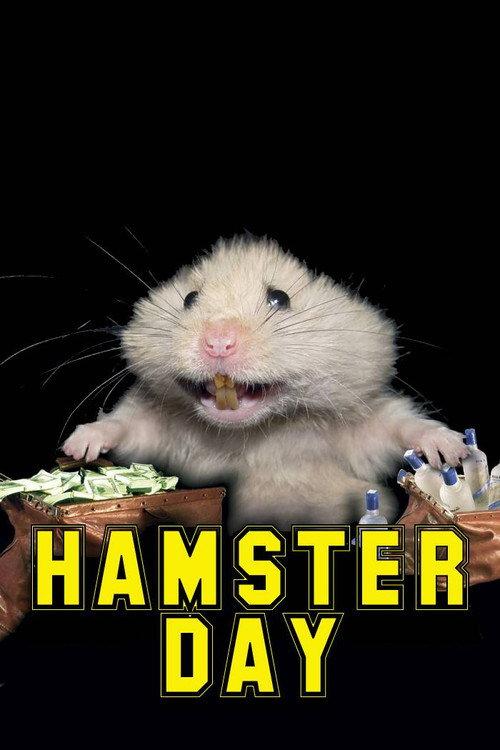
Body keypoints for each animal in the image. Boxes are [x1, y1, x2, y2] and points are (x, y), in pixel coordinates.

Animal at [63, 236, 469, 529]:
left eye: (279, 298)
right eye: (189, 298)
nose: (218, 343)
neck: (253, 433)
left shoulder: (358, 430)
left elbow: (400, 426)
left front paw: (455, 450)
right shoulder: (160, 431)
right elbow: (126, 425)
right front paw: (77, 447)